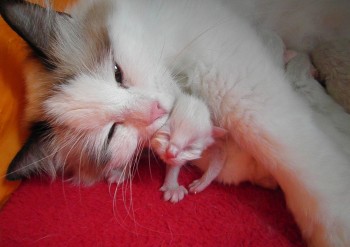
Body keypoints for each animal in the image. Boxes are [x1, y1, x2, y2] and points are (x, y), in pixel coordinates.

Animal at [2, 0, 350, 247]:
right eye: (111, 133)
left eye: (117, 72)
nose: (155, 110)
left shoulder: (230, 73)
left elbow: (287, 147)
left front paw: (338, 228)